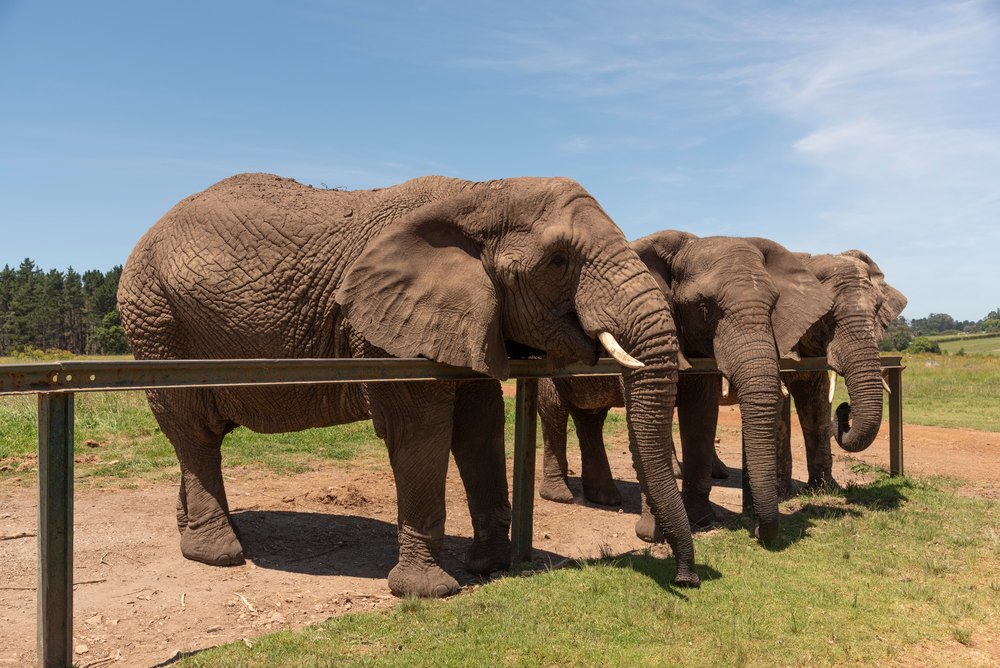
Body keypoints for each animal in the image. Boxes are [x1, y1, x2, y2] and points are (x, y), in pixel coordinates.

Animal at [117, 172, 700, 598]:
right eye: (559, 262)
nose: (687, 578)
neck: (479, 195)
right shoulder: (389, 334)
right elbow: (420, 432)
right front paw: (428, 591)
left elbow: (480, 427)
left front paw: (489, 566)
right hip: (157, 325)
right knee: (193, 429)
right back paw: (218, 553)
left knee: (199, 436)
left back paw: (196, 532)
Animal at [539, 231, 831, 543]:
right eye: (705, 309)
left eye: (773, 307)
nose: (755, 530)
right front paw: (653, 535)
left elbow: (701, 415)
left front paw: (702, 520)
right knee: (555, 413)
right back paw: (560, 496)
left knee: (590, 417)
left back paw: (605, 498)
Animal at [778, 250, 907, 490]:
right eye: (826, 314)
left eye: (877, 309)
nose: (845, 406)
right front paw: (781, 493)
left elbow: (816, 402)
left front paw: (823, 488)